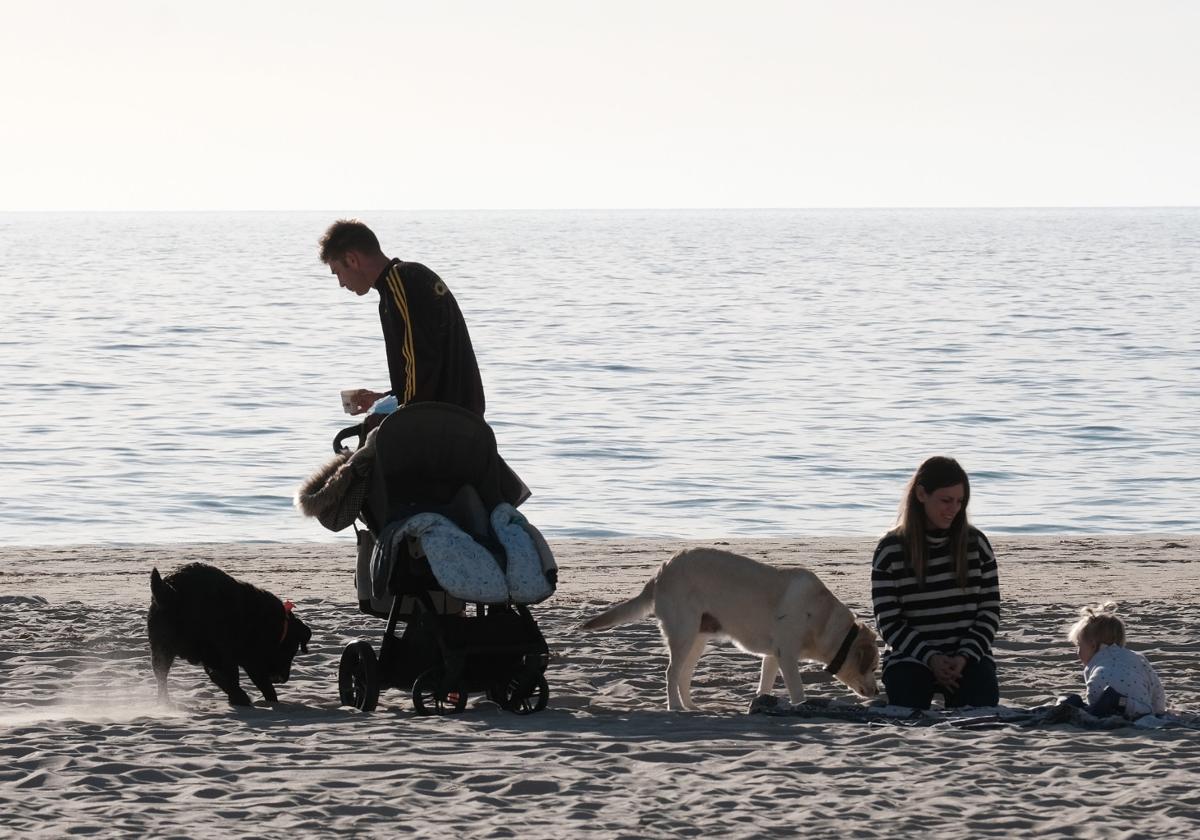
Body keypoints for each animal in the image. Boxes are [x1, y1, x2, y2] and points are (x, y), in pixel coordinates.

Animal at [149, 561, 312, 705]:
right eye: (291, 651)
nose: (282, 679)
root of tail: (172, 592)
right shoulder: (253, 661)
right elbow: (265, 687)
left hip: (162, 650)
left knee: (161, 677)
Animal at [580, 547, 883, 710]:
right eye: (873, 667)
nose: (879, 693)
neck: (823, 619)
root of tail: (661, 571)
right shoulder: (787, 656)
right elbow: (798, 691)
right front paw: (800, 707)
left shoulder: (773, 656)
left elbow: (765, 684)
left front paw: (762, 703)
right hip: (683, 634)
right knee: (670, 673)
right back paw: (675, 706)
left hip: (697, 639)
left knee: (683, 675)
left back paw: (690, 706)